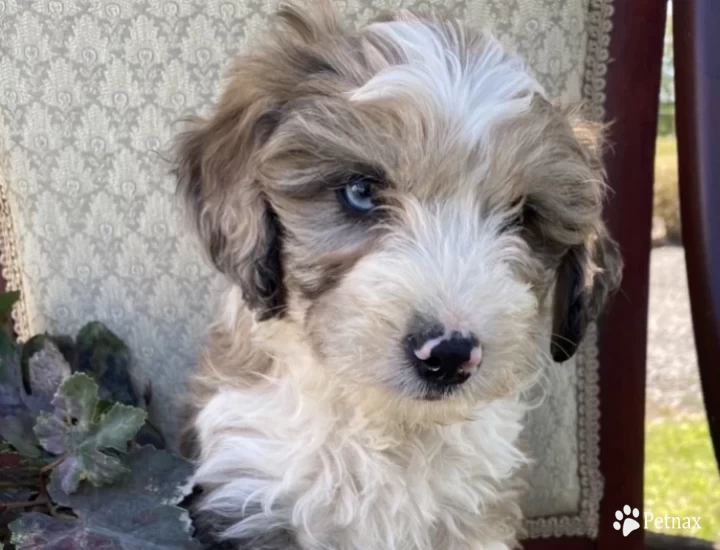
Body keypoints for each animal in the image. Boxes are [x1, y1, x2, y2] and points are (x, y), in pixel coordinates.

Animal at [173, 2, 620, 548]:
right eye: (361, 191)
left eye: (522, 217)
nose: (449, 355)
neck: (392, 427)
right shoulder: (251, 494)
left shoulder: (478, 514)